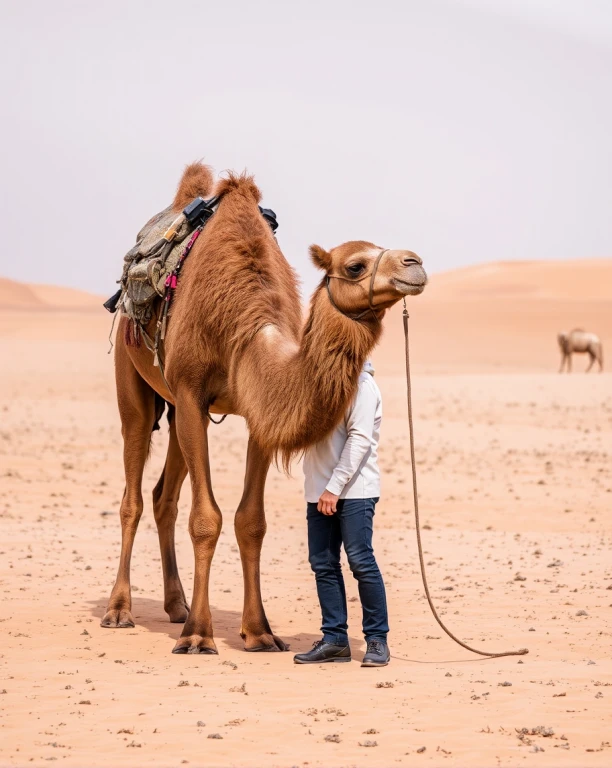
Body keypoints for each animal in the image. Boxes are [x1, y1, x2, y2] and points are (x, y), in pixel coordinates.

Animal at [101, 162, 427, 654]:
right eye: (355, 265)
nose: (415, 263)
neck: (242, 322)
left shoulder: (258, 411)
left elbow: (250, 521)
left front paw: (259, 632)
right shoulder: (192, 391)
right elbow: (207, 518)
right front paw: (199, 636)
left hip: (175, 408)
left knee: (164, 499)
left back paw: (176, 607)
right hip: (135, 378)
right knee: (132, 495)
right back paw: (120, 610)